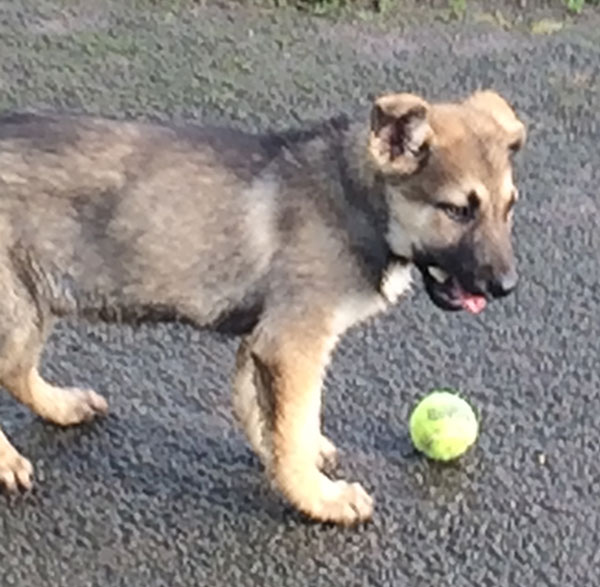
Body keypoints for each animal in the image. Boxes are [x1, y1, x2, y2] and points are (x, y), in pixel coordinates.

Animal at [0, 90, 524, 524]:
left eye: (509, 207)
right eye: (457, 210)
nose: (507, 286)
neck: (354, 197)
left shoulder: (262, 340)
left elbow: (269, 417)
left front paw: (295, 463)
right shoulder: (292, 344)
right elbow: (291, 429)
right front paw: (320, 499)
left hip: (34, 301)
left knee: (17, 372)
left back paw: (62, 406)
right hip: (18, 308)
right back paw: (8, 462)